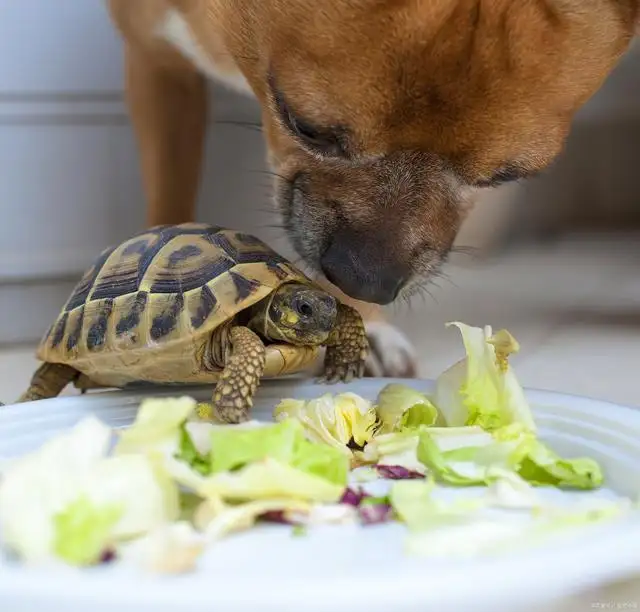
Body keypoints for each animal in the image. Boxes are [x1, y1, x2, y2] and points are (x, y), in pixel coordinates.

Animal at [107, 0, 636, 376]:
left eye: (503, 177)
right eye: (306, 127)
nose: (367, 282)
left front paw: (365, 330)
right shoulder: (156, 69)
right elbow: (169, 209)